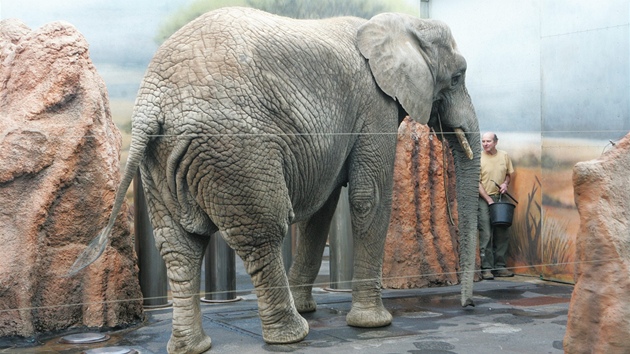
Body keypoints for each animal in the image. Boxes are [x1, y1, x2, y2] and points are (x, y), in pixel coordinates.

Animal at [70, 6, 484, 354]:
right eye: (458, 76)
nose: (468, 304)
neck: (400, 24)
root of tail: (151, 105)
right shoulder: (374, 105)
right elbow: (370, 197)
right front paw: (374, 324)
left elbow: (323, 209)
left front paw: (313, 306)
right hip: (234, 149)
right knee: (264, 232)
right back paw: (291, 335)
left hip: (161, 161)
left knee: (179, 245)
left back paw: (192, 346)